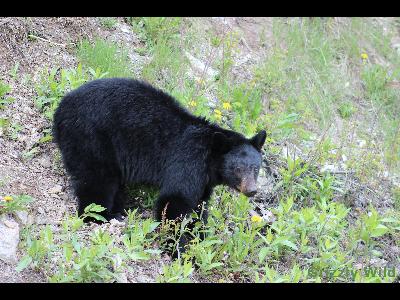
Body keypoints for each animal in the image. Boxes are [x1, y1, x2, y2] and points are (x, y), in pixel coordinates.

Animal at [52, 77, 266, 248]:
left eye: (256, 168)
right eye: (238, 168)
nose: (252, 190)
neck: (209, 159)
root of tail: (60, 109)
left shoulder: (204, 181)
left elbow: (199, 207)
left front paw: (200, 237)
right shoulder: (188, 161)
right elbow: (175, 201)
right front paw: (178, 247)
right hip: (91, 138)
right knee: (97, 182)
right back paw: (102, 216)